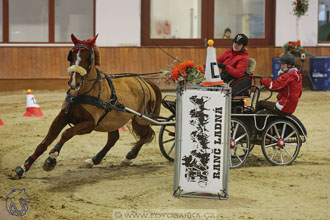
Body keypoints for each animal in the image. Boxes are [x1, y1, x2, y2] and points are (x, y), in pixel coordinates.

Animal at [11, 34, 162, 179]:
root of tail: (145, 81)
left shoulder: (89, 124)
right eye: (71, 55)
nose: (74, 83)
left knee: (146, 135)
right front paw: (22, 168)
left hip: (140, 119)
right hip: (113, 120)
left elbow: (66, 133)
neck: (83, 92)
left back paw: (129, 156)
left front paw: (52, 158)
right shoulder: (62, 117)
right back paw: (94, 159)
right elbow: (44, 142)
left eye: (88, 57)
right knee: (114, 138)